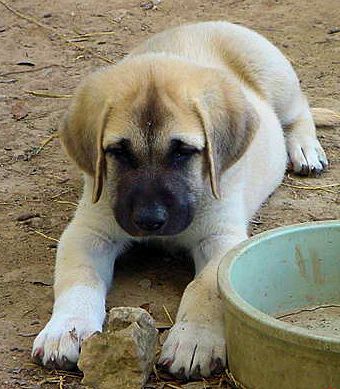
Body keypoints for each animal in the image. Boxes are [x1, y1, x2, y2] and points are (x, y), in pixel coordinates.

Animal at [31, 21, 338, 378]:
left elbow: (204, 287)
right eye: (119, 151)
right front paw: (66, 329)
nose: (149, 220)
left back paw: (305, 148)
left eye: (182, 152)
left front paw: (195, 340)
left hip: (276, 76)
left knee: (300, 110)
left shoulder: (221, 239)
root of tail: (201, 24)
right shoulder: (89, 232)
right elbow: (79, 279)